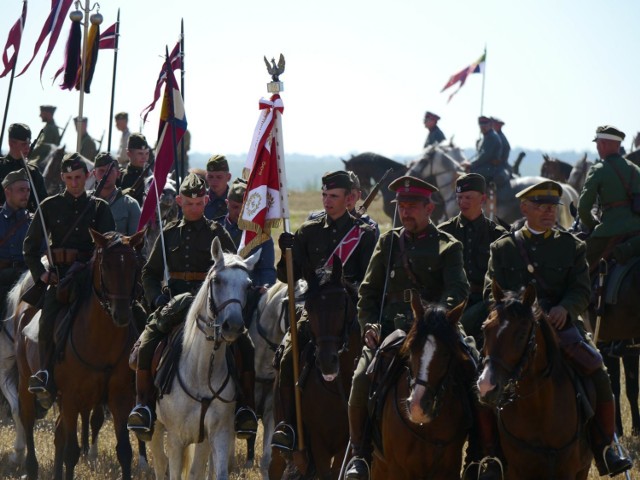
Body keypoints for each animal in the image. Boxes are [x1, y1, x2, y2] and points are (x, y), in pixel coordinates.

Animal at [15, 230, 146, 480]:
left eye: (135, 265)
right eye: (106, 265)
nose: (122, 314)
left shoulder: (120, 397)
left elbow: (124, 451)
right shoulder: (72, 398)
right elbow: (71, 452)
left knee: (58, 434)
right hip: (27, 386)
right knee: (28, 424)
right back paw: (31, 467)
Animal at [149, 238, 258, 478]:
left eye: (248, 286)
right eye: (217, 280)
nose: (233, 326)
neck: (200, 371)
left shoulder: (216, 434)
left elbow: (209, 472)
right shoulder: (176, 438)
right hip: (156, 428)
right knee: (160, 464)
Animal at [372, 298, 472, 478]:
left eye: (446, 354)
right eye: (411, 349)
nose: (417, 407)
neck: (426, 428)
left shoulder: (449, 469)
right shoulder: (396, 468)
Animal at [478, 282, 592, 480]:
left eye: (522, 334)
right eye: (485, 329)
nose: (486, 386)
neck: (537, 408)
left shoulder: (569, 470)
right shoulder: (515, 471)